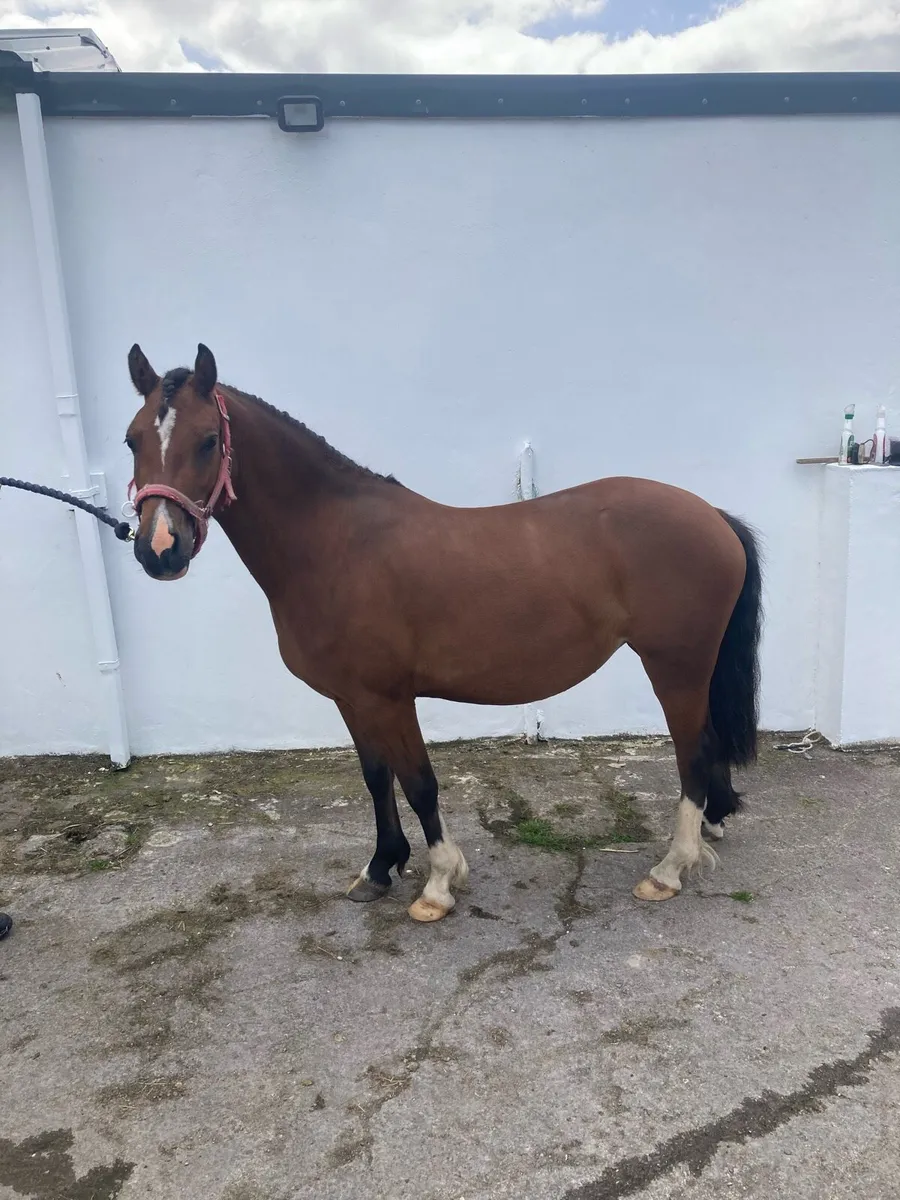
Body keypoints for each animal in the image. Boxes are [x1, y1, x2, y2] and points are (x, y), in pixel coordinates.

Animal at [125, 343, 763, 922]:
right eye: (132, 440)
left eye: (209, 440)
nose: (160, 550)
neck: (334, 543)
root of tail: (713, 517)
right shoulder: (353, 698)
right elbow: (376, 778)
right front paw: (380, 868)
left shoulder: (389, 697)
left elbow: (419, 784)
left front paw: (437, 883)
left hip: (675, 666)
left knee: (693, 751)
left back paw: (670, 870)